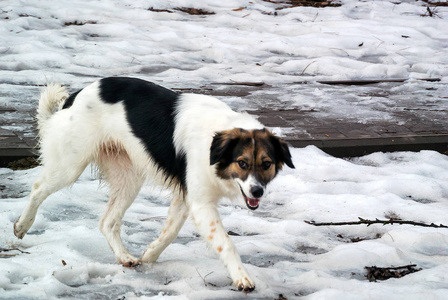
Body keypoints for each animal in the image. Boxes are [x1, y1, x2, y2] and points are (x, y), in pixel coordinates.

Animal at [14, 76, 294, 292]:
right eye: (242, 163)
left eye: (267, 164)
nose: (257, 191)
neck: (215, 147)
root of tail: (74, 97)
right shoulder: (201, 203)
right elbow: (226, 242)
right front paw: (241, 276)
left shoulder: (186, 197)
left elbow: (169, 232)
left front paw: (149, 255)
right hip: (70, 166)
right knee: (38, 188)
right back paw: (21, 226)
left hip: (129, 178)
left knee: (107, 222)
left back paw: (125, 257)